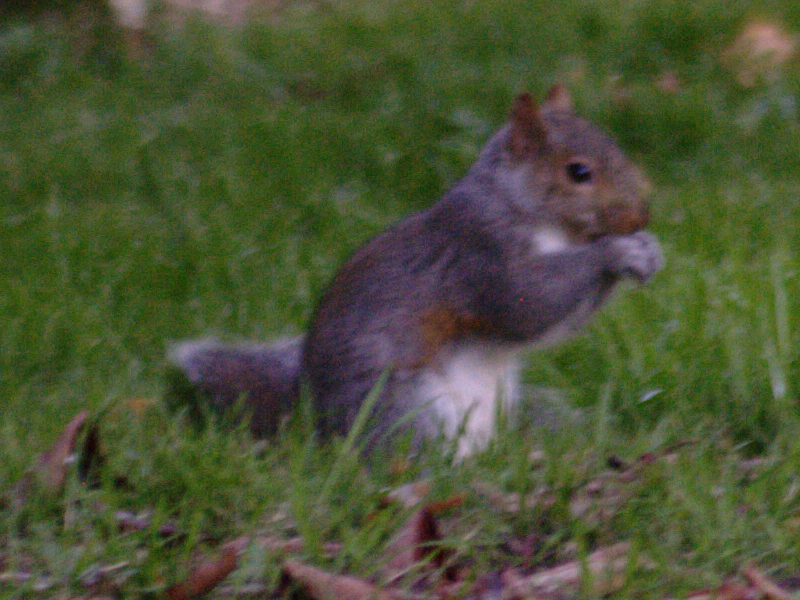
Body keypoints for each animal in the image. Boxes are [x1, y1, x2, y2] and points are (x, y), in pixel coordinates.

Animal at [166, 85, 663, 457]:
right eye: (579, 172)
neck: (528, 213)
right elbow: (525, 302)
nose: (641, 215)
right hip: (407, 406)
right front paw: (617, 251)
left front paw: (649, 249)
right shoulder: (479, 252)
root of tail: (316, 423)